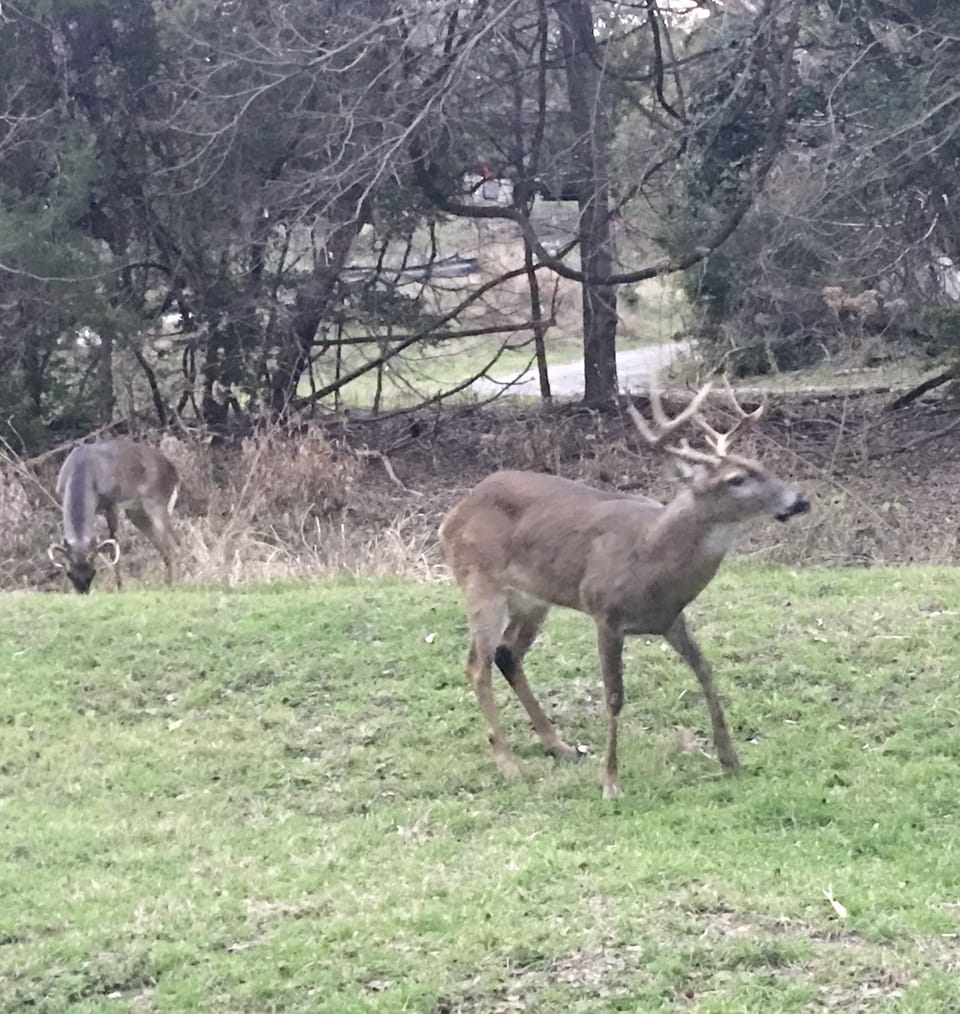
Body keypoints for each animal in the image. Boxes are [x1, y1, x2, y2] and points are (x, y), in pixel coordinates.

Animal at [48, 439, 180, 594]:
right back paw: (169, 583)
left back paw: (178, 583)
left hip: (157, 501)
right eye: (69, 574)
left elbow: (113, 549)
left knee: (174, 544)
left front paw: (120, 587)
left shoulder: (112, 503)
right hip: (136, 511)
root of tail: (174, 472)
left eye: (93, 572)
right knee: (164, 546)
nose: (83, 591)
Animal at [439, 379, 810, 798]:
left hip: (533, 598)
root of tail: (451, 517)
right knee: (477, 666)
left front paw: (730, 758)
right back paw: (509, 764)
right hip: (480, 583)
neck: (650, 559)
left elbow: (705, 670)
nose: (800, 501)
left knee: (507, 653)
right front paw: (611, 782)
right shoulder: (605, 613)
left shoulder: (671, 618)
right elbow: (614, 696)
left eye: (762, 467)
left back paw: (560, 746)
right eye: (736, 480)